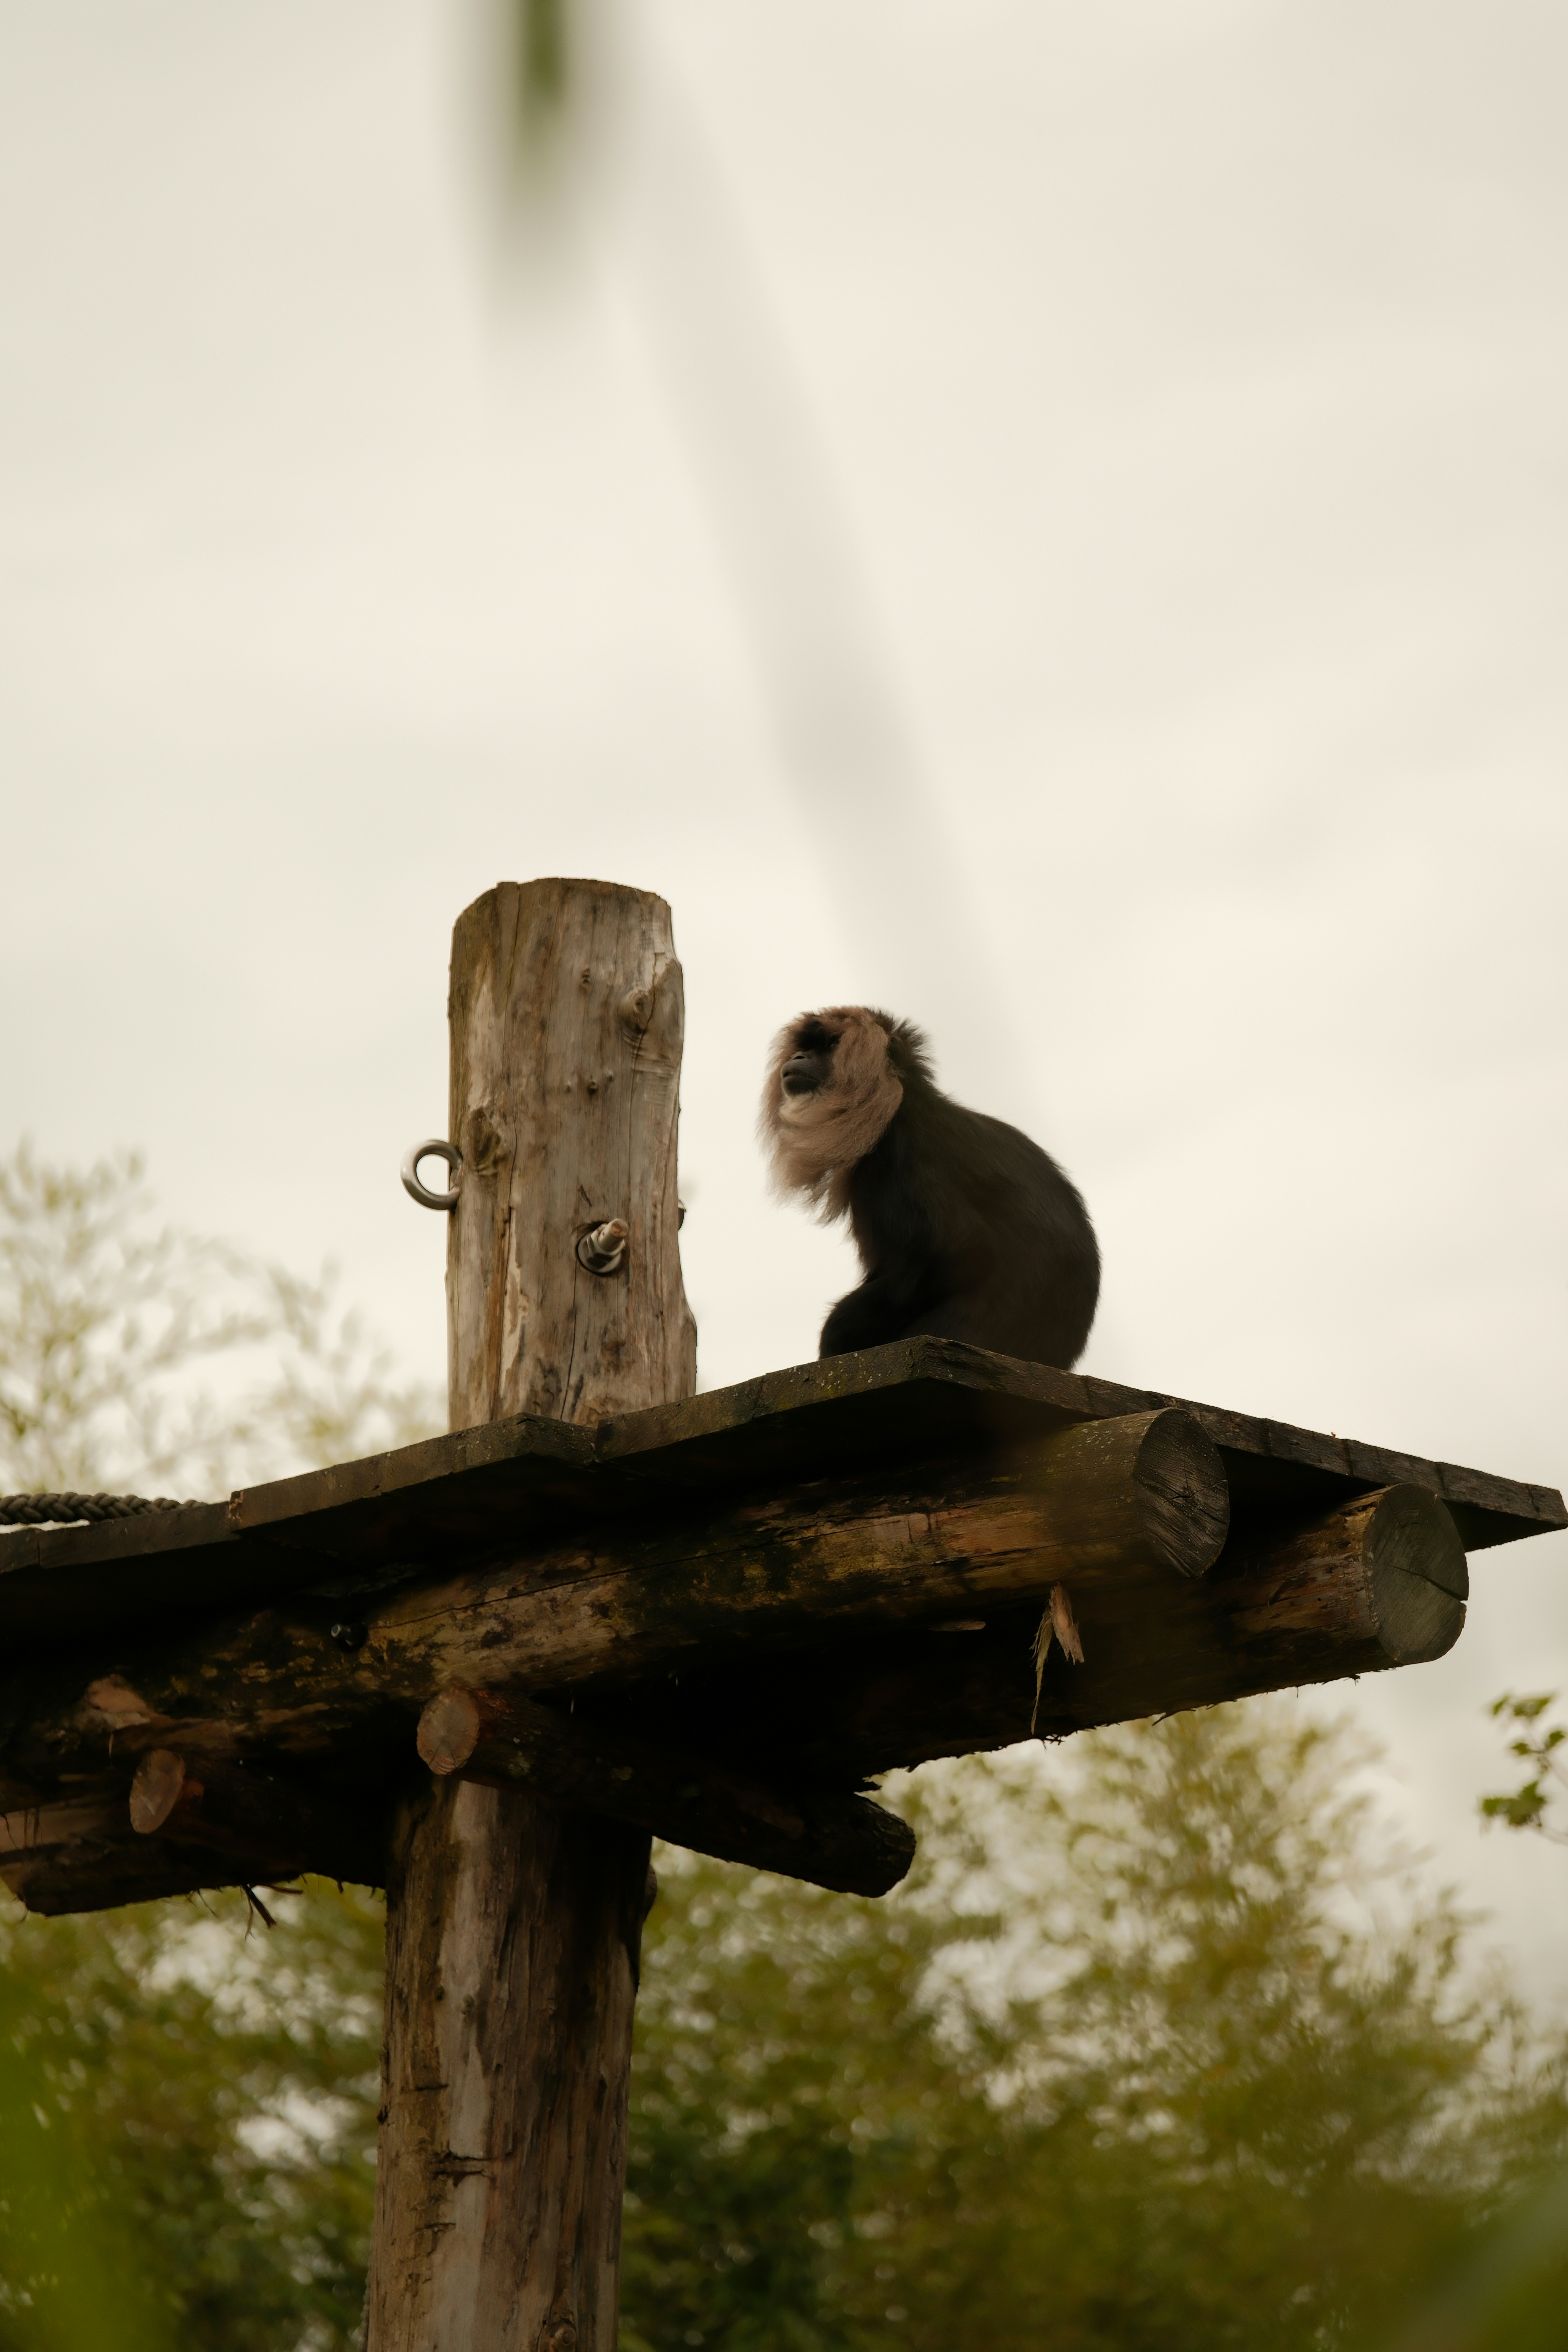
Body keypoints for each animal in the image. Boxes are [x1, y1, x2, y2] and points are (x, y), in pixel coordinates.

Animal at [760, 1006, 1099, 1369]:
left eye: (830, 1046)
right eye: (806, 1048)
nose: (799, 1057)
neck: (900, 1104)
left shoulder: (901, 1153)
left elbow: (958, 1251)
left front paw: (836, 1334)